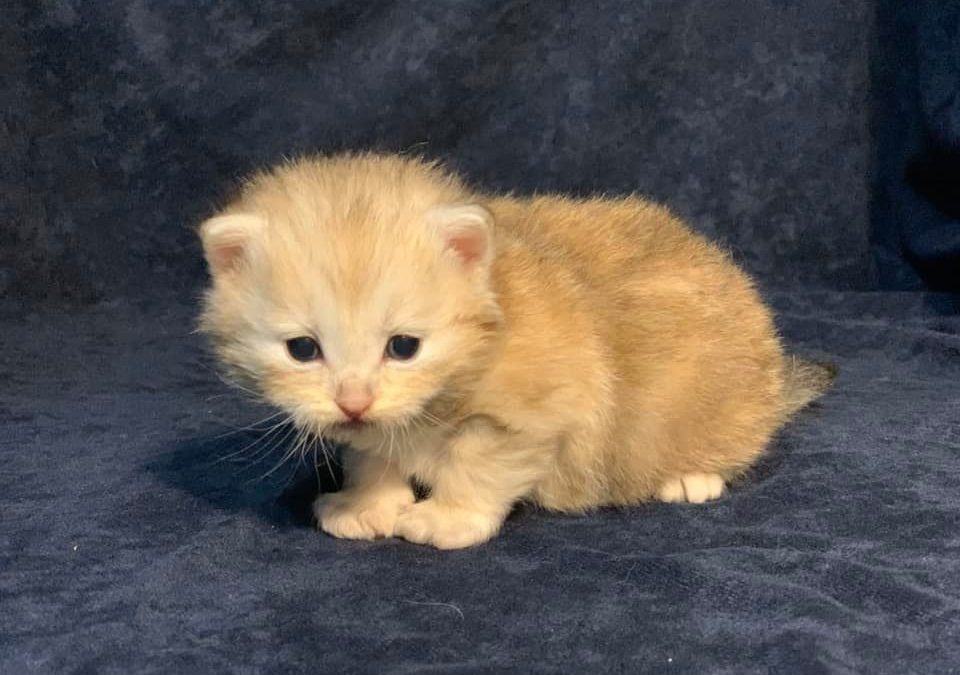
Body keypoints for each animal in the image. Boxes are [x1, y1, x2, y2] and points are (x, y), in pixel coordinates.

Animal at [201, 153, 832, 548]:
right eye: (302, 349)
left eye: (403, 347)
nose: (353, 403)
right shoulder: (377, 429)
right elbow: (374, 454)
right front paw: (365, 505)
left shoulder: (540, 411)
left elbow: (477, 464)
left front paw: (447, 519)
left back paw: (691, 477)